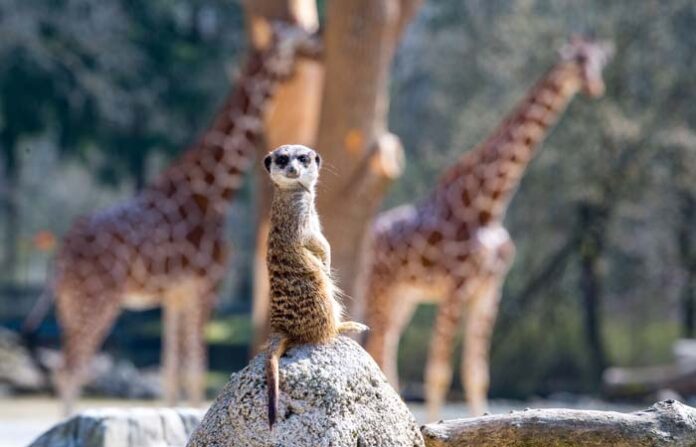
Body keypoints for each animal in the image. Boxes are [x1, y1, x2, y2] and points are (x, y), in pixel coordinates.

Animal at [49, 24, 318, 414]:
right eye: (301, 35)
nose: (320, 42)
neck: (211, 192)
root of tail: (62, 251)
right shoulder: (205, 283)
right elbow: (195, 369)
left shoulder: (176, 293)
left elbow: (171, 373)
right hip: (96, 297)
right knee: (73, 368)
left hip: (68, 301)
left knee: (66, 368)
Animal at [362, 37, 612, 420]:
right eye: (577, 61)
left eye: (599, 61)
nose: (595, 86)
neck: (488, 204)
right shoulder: (456, 285)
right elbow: (439, 372)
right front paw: (434, 426)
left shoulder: (490, 288)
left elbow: (476, 373)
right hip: (380, 287)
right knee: (379, 345)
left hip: (405, 294)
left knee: (386, 343)